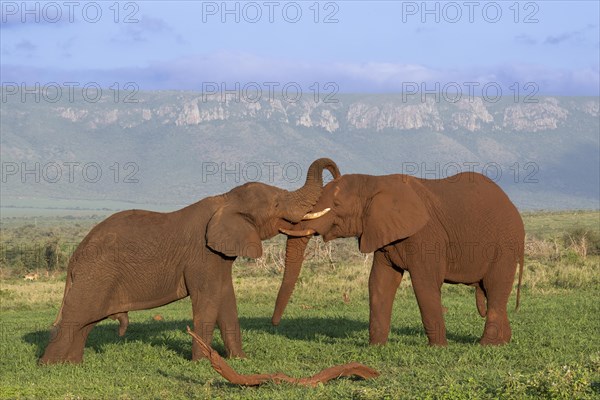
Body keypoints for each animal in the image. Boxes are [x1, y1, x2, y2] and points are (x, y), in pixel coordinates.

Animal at [39, 158, 340, 364]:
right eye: (276, 205)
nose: (336, 176)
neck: (225, 199)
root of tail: (74, 257)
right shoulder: (202, 254)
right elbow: (207, 298)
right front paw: (202, 363)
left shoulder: (218, 256)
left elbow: (226, 299)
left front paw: (239, 361)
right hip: (96, 274)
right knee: (76, 319)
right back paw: (50, 367)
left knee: (84, 323)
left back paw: (70, 365)